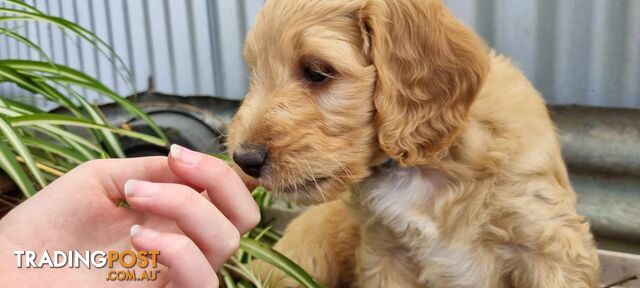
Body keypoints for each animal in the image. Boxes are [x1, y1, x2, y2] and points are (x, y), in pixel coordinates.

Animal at [229, 0, 600, 286]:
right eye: (255, 72)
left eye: (318, 72)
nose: (244, 159)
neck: (430, 162)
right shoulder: (386, 254)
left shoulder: (547, 245)